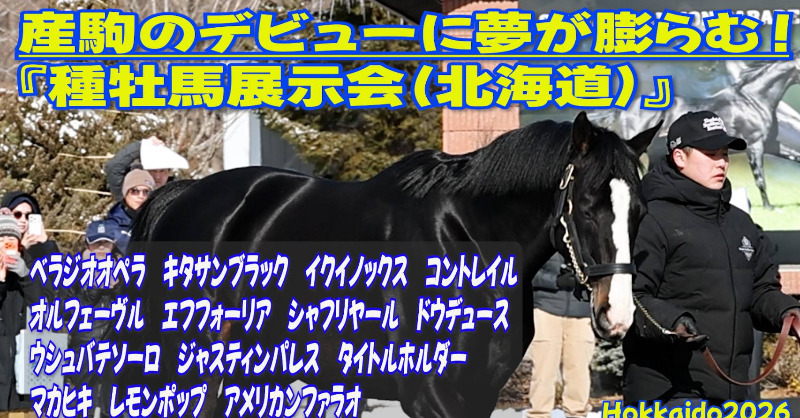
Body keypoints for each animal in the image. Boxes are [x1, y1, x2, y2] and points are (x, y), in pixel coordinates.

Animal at [110, 112, 661, 418]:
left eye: (638, 210)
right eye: (587, 206)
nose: (617, 315)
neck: (464, 239)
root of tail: (180, 197)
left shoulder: (480, 390)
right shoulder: (429, 394)